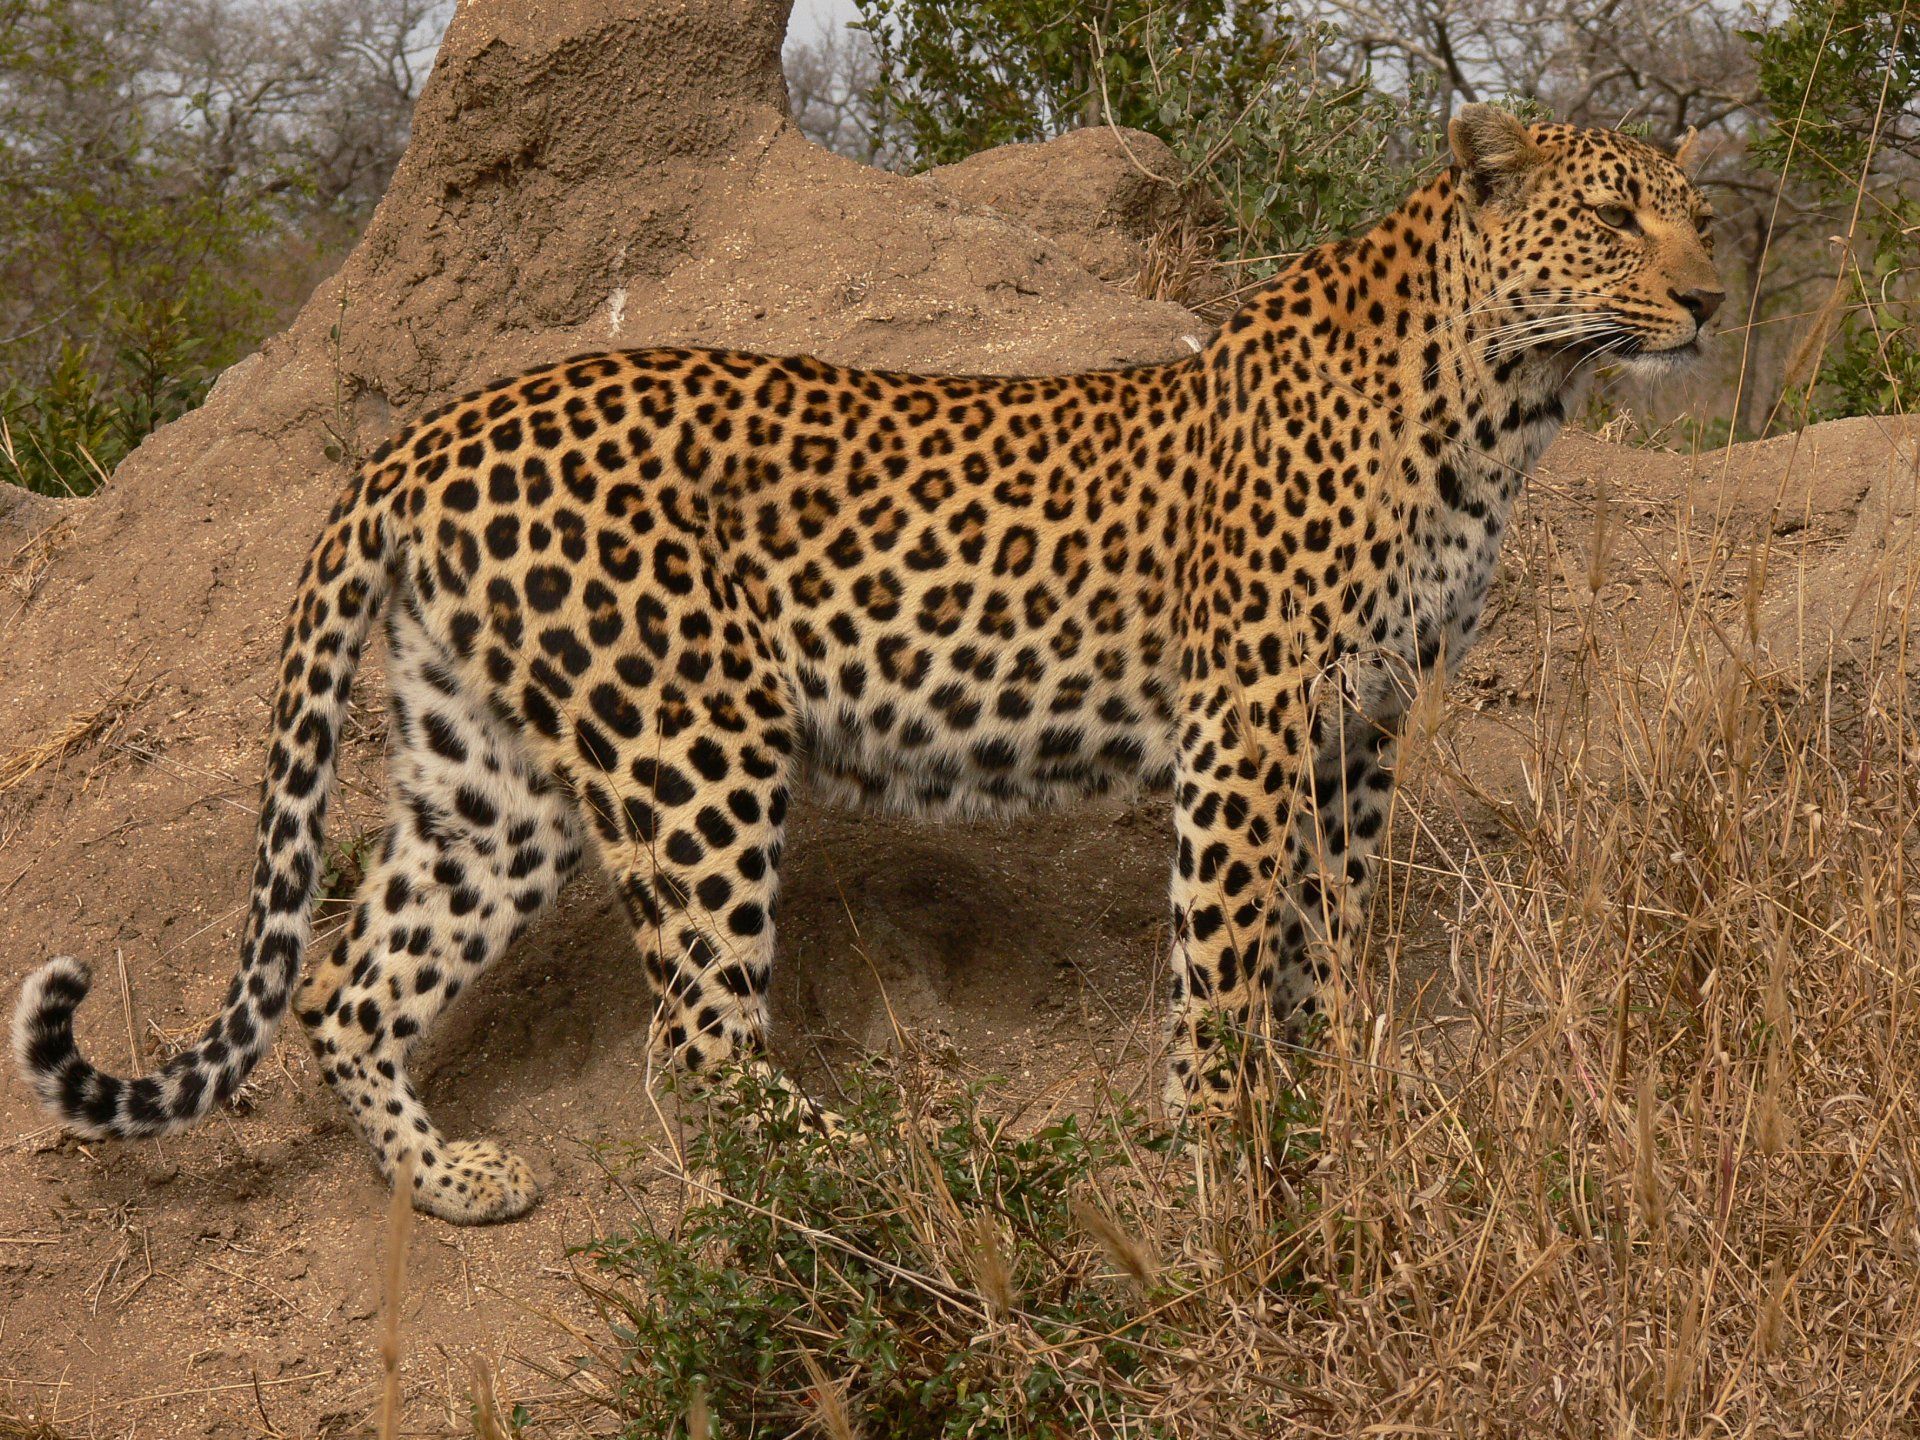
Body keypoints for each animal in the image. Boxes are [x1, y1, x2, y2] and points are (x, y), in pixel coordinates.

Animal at [13, 106, 1721, 1222]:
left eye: (1691, 213)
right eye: (1615, 218)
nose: (1709, 298)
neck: (1501, 401)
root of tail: (427, 433)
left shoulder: (1367, 718)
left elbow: (1338, 922)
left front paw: (1337, 1077)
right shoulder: (1253, 719)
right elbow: (1227, 949)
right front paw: (1226, 1136)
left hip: (488, 776)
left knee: (350, 987)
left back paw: (452, 1182)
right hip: (691, 748)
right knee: (691, 1040)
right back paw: (882, 1170)